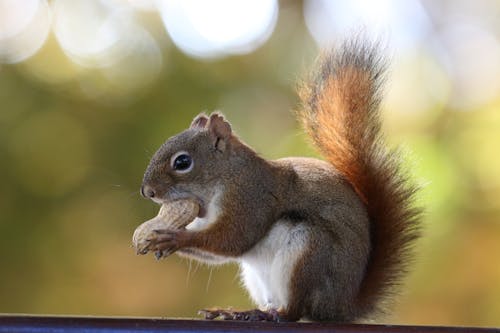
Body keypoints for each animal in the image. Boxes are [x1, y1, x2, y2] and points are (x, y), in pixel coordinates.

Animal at [139, 38, 420, 322]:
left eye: (182, 162)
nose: (147, 192)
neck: (227, 175)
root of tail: (340, 308)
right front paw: (155, 239)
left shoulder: (250, 198)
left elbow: (233, 239)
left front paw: (175, 239)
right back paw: (239, 312)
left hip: (308, 253)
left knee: (293, 312)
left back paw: (265, 314)